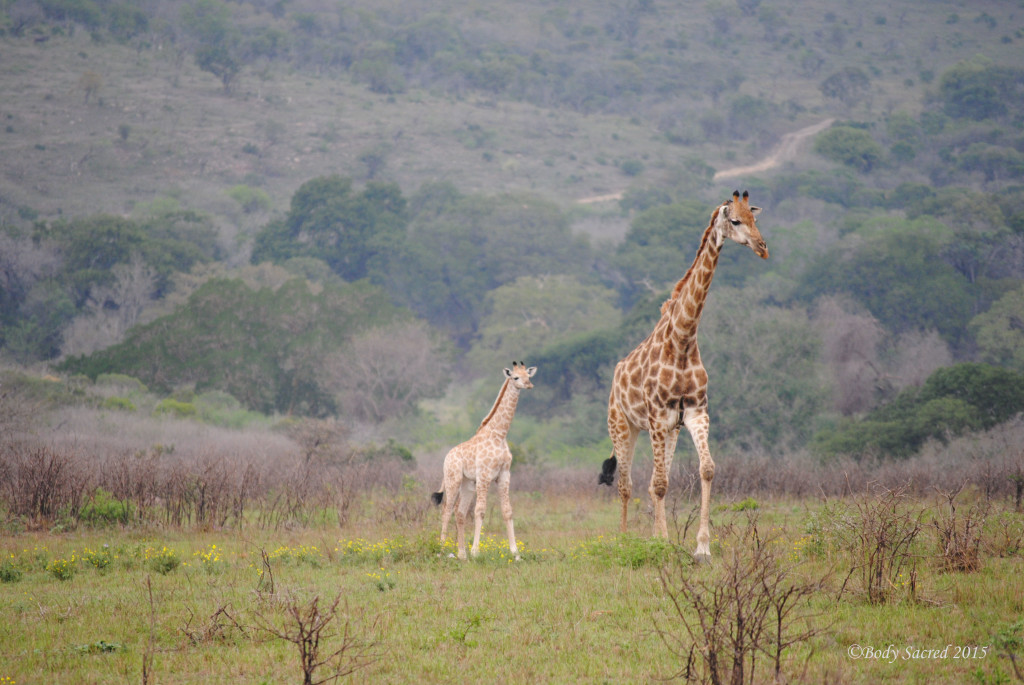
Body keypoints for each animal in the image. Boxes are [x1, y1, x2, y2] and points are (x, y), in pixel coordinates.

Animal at [432, 360, 536, 557]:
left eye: (528, 375)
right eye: (515, 377)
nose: (529, 385)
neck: (499, 434)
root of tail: (446, 458)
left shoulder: (504, 474)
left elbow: (507, 511)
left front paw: (515, 553)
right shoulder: (485, 475)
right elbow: (480, 511)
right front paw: (476, 551)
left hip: (467, 484)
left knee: (459, 512)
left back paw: (461, 554)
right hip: (453, 479)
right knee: (446, 510)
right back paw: (442, 551)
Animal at [598, 188, 770, 561]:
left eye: (755, 218)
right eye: (736, 221)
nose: (763, 247)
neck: (683, 339)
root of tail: (615, 377)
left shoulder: (694, 413)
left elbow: (706, 469)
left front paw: (701, 547)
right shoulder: (656, 416)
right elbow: (661, 484)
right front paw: (662, 544)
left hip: (668, 431)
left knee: (649, 484)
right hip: (624, 426)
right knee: (626, 485)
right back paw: (625, 541)